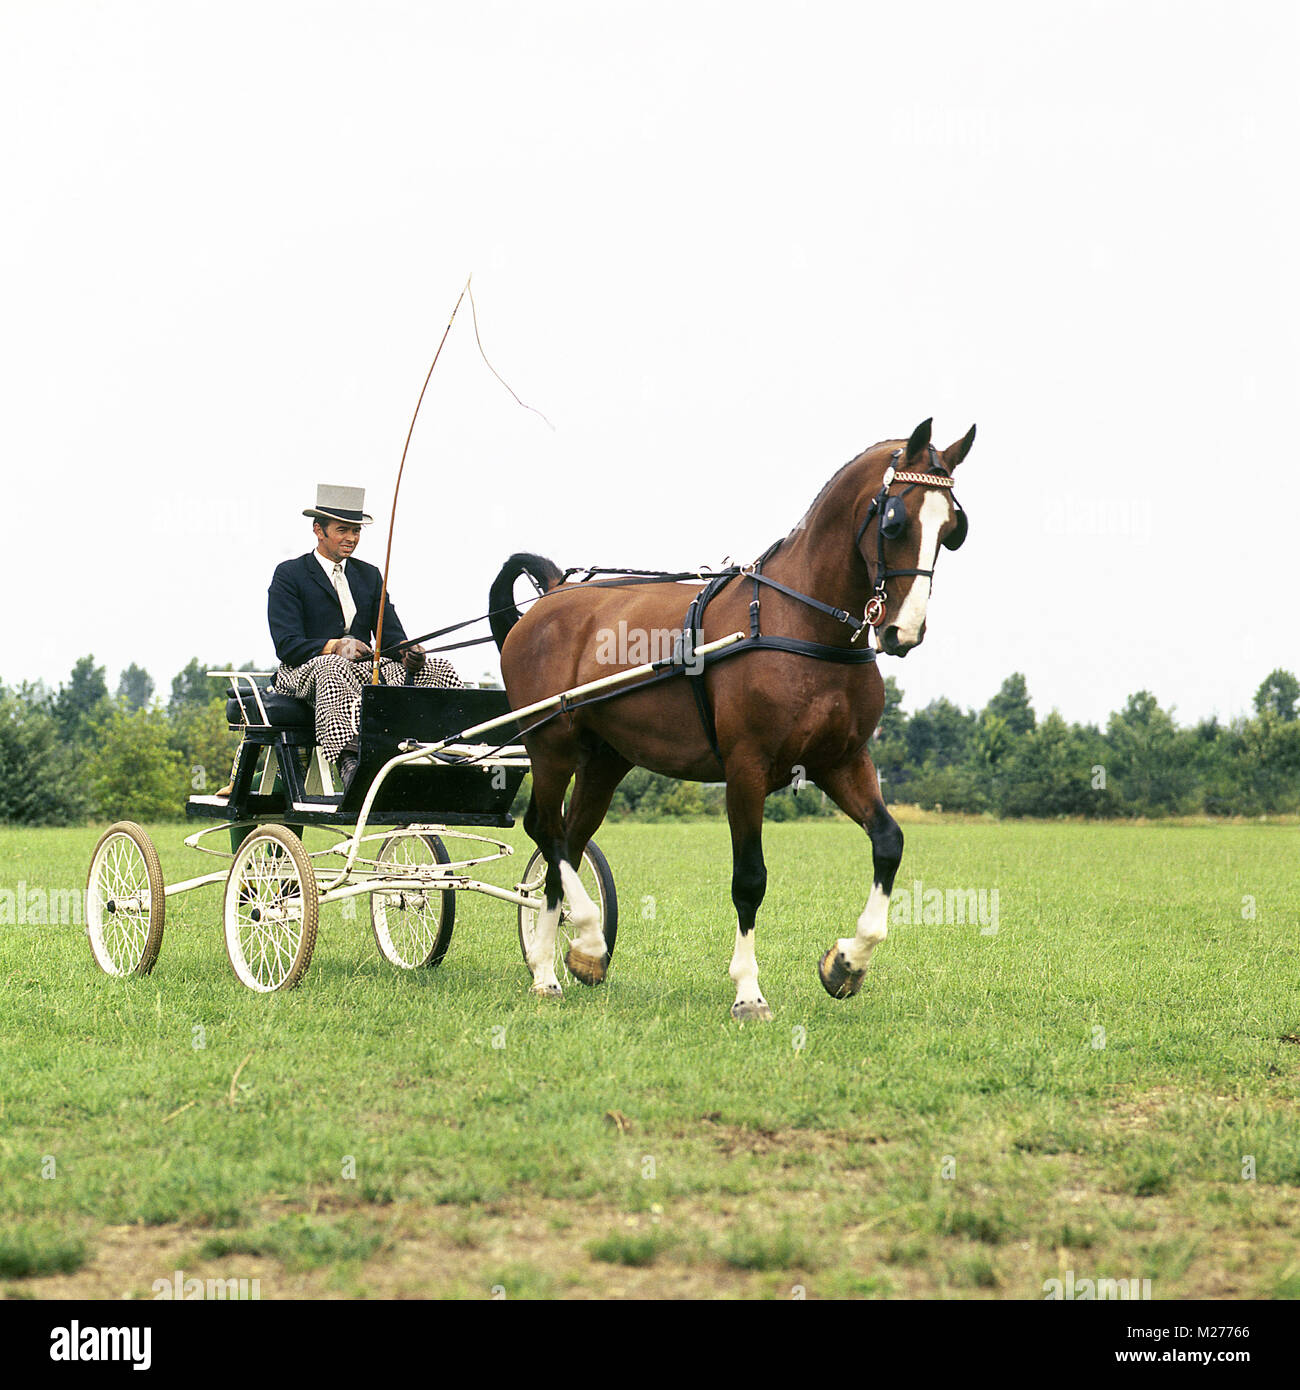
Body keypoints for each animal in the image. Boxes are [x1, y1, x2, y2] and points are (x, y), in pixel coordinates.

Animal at [487, 417, 975, 1019]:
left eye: (952, 528)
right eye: (895, 520)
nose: (903, 631)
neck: (800, 623)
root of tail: (552, 597)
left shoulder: (839, 761)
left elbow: (888, 841)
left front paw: (846, 962)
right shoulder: (746, 768)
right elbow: (750, 879)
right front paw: (748, 991)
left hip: (605, 760)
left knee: (568, 842)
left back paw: (555, 963)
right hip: (551, 746)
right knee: (546, 830)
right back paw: (583, 942)